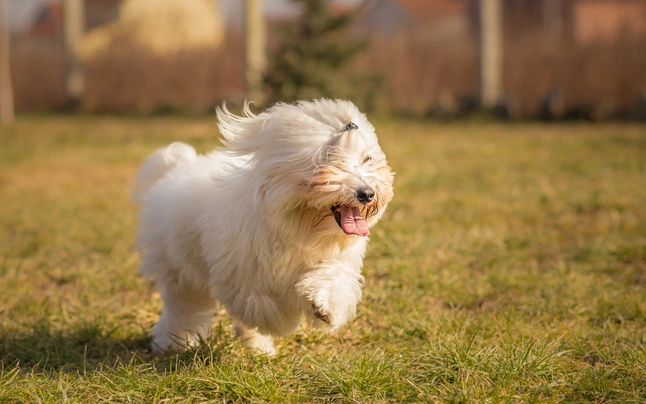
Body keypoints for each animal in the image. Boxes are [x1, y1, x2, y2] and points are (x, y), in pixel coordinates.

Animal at [132, 99, 394, 356]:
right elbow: (262, 307)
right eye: (330, 158)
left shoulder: (336, 260)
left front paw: (322, 306)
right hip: (178, 267)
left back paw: (257, 348)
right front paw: (286, 320)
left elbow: (334, 280)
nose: (367, 193)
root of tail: (176, 168)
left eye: (367, 159)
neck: (300, 227)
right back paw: (171, 343)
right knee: (183, 309)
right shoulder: (241, 275)